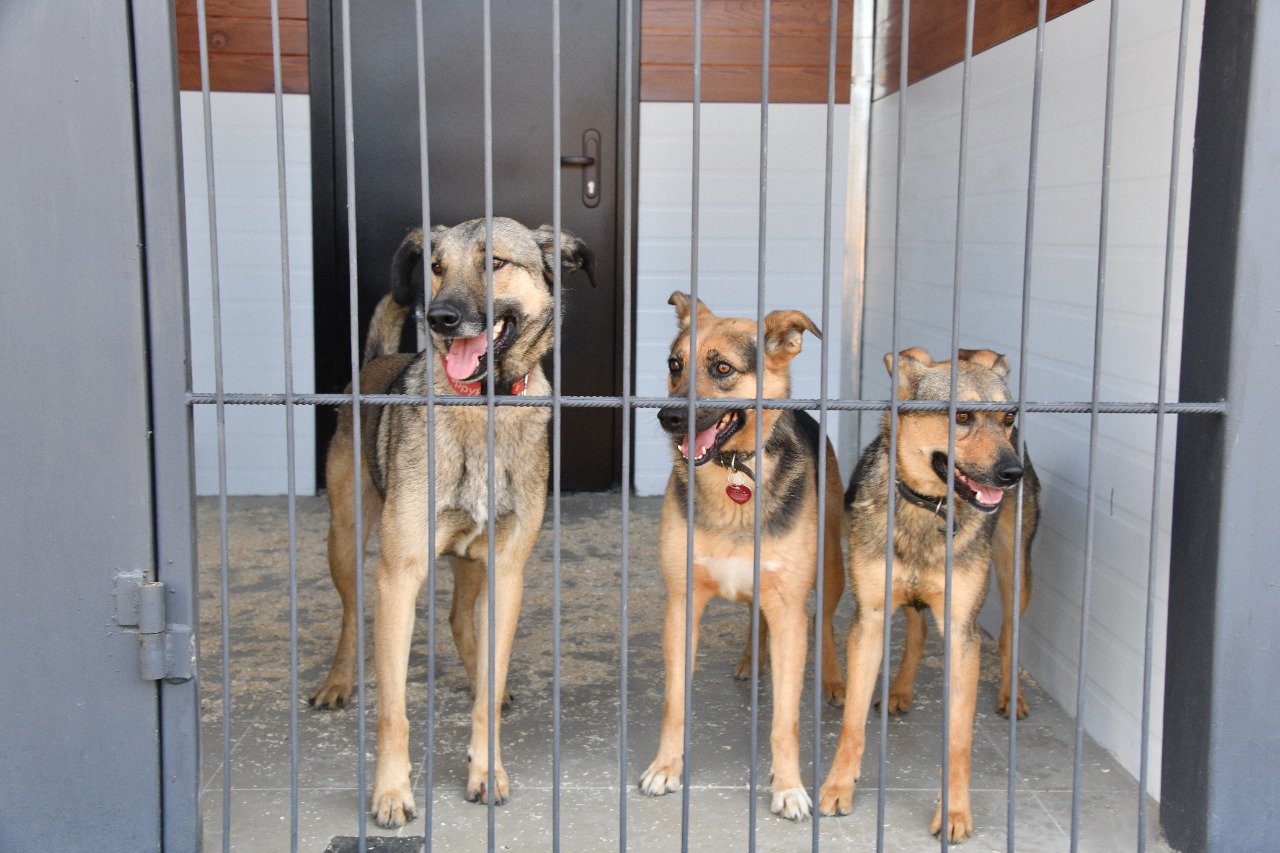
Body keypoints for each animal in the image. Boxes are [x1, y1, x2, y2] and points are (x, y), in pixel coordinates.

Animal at [309, 217, 593, 824]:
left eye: (496, 263)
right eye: (436, 267)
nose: (438, 316)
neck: (480, 405)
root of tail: (375, 362)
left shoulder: (507, 570)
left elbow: (488, 676)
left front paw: (487, 769)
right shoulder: (398, 576)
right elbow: (393, 707)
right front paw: (391, 792)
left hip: (472, 561)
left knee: (462, 620)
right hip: (345, 538)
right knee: (351, 613)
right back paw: (338, 681)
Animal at [634, 290, 844, 819]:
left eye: (723, 368)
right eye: (674, 364)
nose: (668, 419)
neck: (733, 475)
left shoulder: (790, 610)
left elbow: (785, 717)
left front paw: (788, 787)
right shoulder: (682, 604)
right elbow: (674, 703)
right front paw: (666, 767)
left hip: (832, 568)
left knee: (828, 621)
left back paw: (834, 680)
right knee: (756, 619)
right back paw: (752, 661)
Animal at [819, 345, 1039, 835]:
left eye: (1008, 417)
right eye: (962, 417)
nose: (1010, 473)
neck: (928, 507)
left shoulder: (962, 631)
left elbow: (959, 739)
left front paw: (954, 811)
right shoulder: (870, 618)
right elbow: (851, 723)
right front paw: (838, 786)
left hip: (1015, 573)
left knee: (1011, 635)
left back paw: (1011, 696)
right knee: (917, 630)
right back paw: (900, 691)